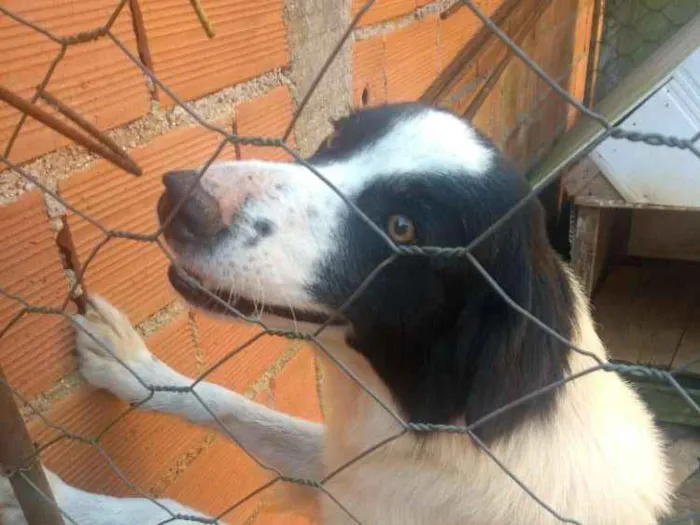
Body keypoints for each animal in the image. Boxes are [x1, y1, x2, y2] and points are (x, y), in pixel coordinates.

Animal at [2, 103, 676, 524]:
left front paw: (49, 499)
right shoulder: (342, 472)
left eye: (403, 228)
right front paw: (131, 365)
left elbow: (171, 514)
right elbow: (235, 406)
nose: (181, 200)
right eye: (333, 141)